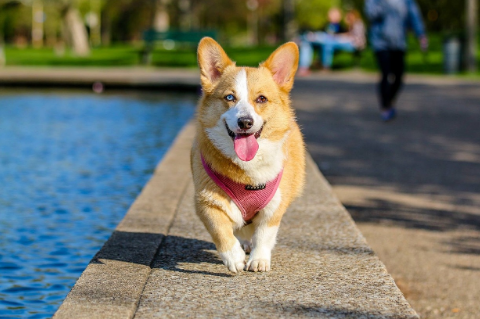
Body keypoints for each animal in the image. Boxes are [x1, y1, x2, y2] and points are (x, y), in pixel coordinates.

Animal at [190, 37, 306, 272]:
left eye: (261, 99)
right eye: (229, 97)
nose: (245, 122)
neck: (247, 171)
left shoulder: (274, 207)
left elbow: (264, 234)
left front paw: (259, 260)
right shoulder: (206, 202)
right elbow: (221, 230)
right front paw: (233, 258)